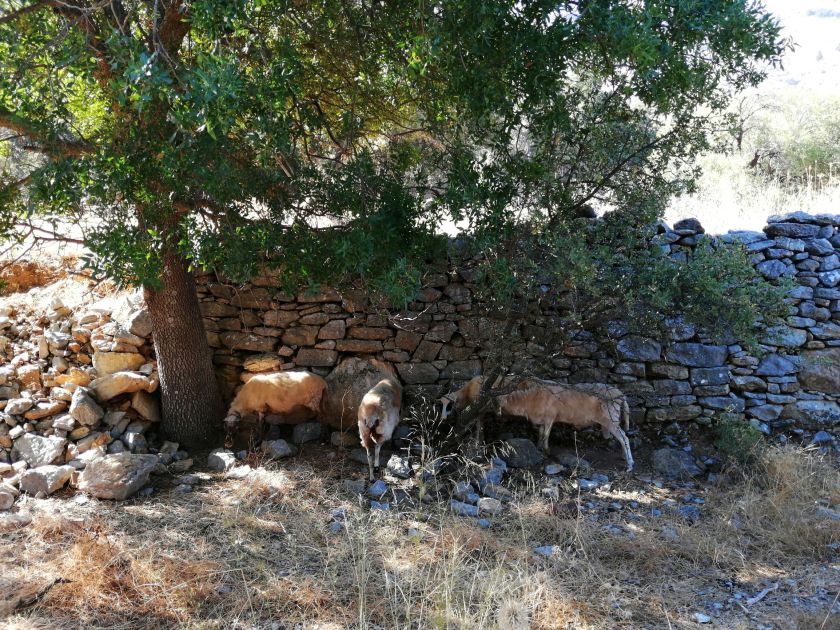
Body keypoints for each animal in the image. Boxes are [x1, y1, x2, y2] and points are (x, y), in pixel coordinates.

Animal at [496, 382, 634, 471]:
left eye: (498, 404)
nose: (496, 415)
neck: (531, 400)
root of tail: (620, 394)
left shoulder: (550, 416)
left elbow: (546, 435)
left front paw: (546, 451)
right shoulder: (543, 420)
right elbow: (541, 433)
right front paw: (539, 447)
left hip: (610, 418)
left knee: (624, 438)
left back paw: (630, 464)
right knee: (622, 438)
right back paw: (624, 456)